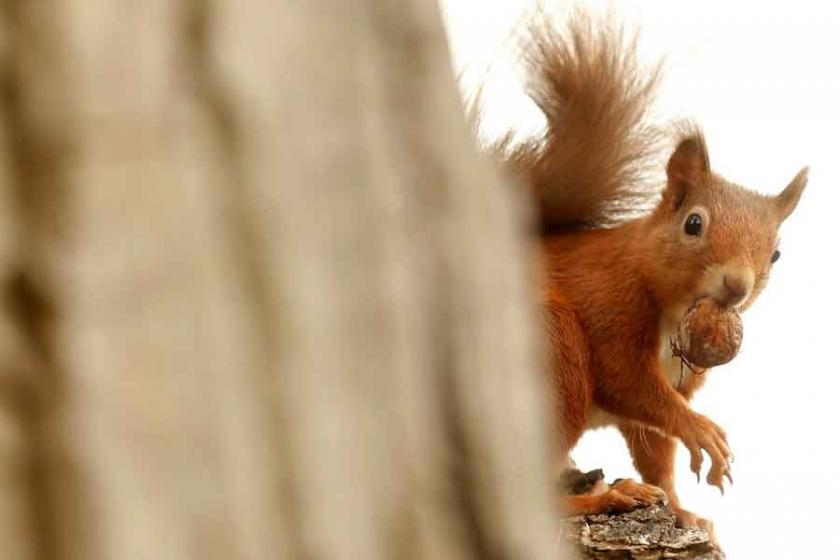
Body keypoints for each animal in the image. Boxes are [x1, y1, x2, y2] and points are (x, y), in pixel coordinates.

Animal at [496, 12, 812, 528]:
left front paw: (683, 510)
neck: (674, 309)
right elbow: (630, 384)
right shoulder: (608, 299)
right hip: (551, 350)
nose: (736, 285)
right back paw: (598, 499)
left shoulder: (679, 379)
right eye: (694, 224)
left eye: (776, 255)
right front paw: (701, 430)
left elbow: (655, 446)